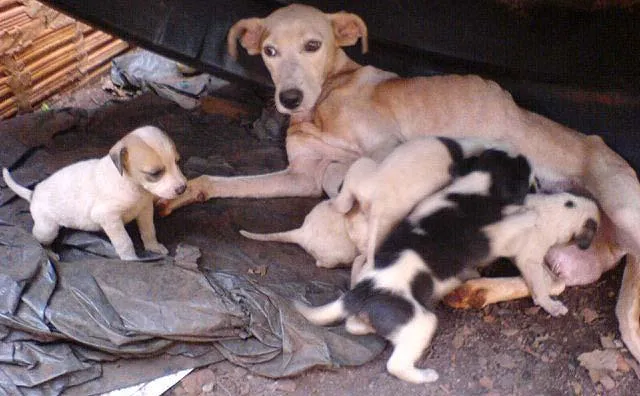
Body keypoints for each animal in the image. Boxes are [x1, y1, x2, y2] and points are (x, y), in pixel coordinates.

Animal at [1, 124, 188, 260]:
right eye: (155, 173)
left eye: (178, 162)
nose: (183, 188)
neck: (131, 183)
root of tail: (34, 193)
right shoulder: (109, 218)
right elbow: (124, 241)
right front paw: (131, 260)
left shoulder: (145, 210)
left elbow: (149, 231)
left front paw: (153, 248)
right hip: (47, 229)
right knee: (38, 240)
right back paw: (49, 255)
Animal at [298, 149, 532, 384]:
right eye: (522, 170)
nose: (526, 158)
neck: (474, 186)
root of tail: (359, 293)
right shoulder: (491, 237)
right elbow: (512, 225)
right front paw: (527, 215)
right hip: (421, 322)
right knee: (395, 365)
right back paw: (425, 375)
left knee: (353, 325)